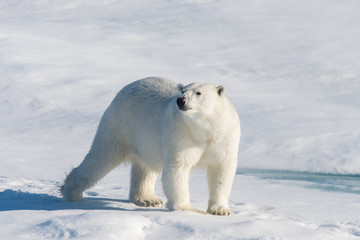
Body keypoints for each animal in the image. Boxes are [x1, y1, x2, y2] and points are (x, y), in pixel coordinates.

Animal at [61, 77, 240, 216]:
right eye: (183, 91)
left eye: (198, 93)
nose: (181, 100)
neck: (204, 130)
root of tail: (126, 88)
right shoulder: (181, 134)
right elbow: (178, 168)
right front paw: (188, 209)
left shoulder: (224, 137)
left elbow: (221, 170)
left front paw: (221, 211)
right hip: (120, 126)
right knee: (100, 157)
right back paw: (71, 192)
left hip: (145, 141)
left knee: (145, 167)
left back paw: (148, 199)